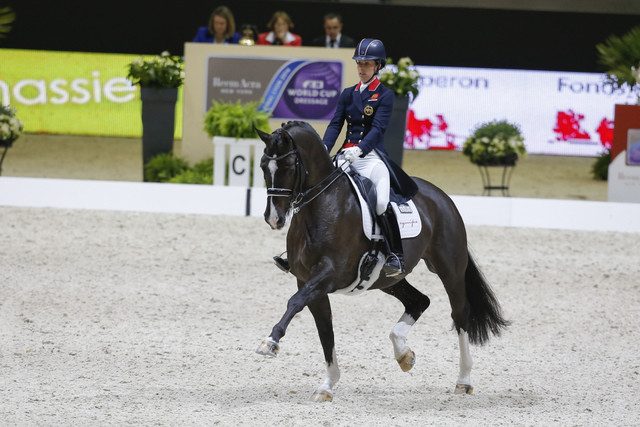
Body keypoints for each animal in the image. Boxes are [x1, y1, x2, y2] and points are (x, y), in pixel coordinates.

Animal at [252, 121, 508, 404]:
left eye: (287, 166)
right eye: (263, 165)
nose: (273, 218)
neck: (322, 205)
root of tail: (441, 196)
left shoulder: (329, 275)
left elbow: (294, 302)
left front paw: (270, 342)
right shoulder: (308, 281)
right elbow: (325, 330)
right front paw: (327, 385)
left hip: (450, 268)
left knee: (459, 313)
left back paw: (463, 380)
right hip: (388, 279)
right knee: (419, 301)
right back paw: (404, 355)